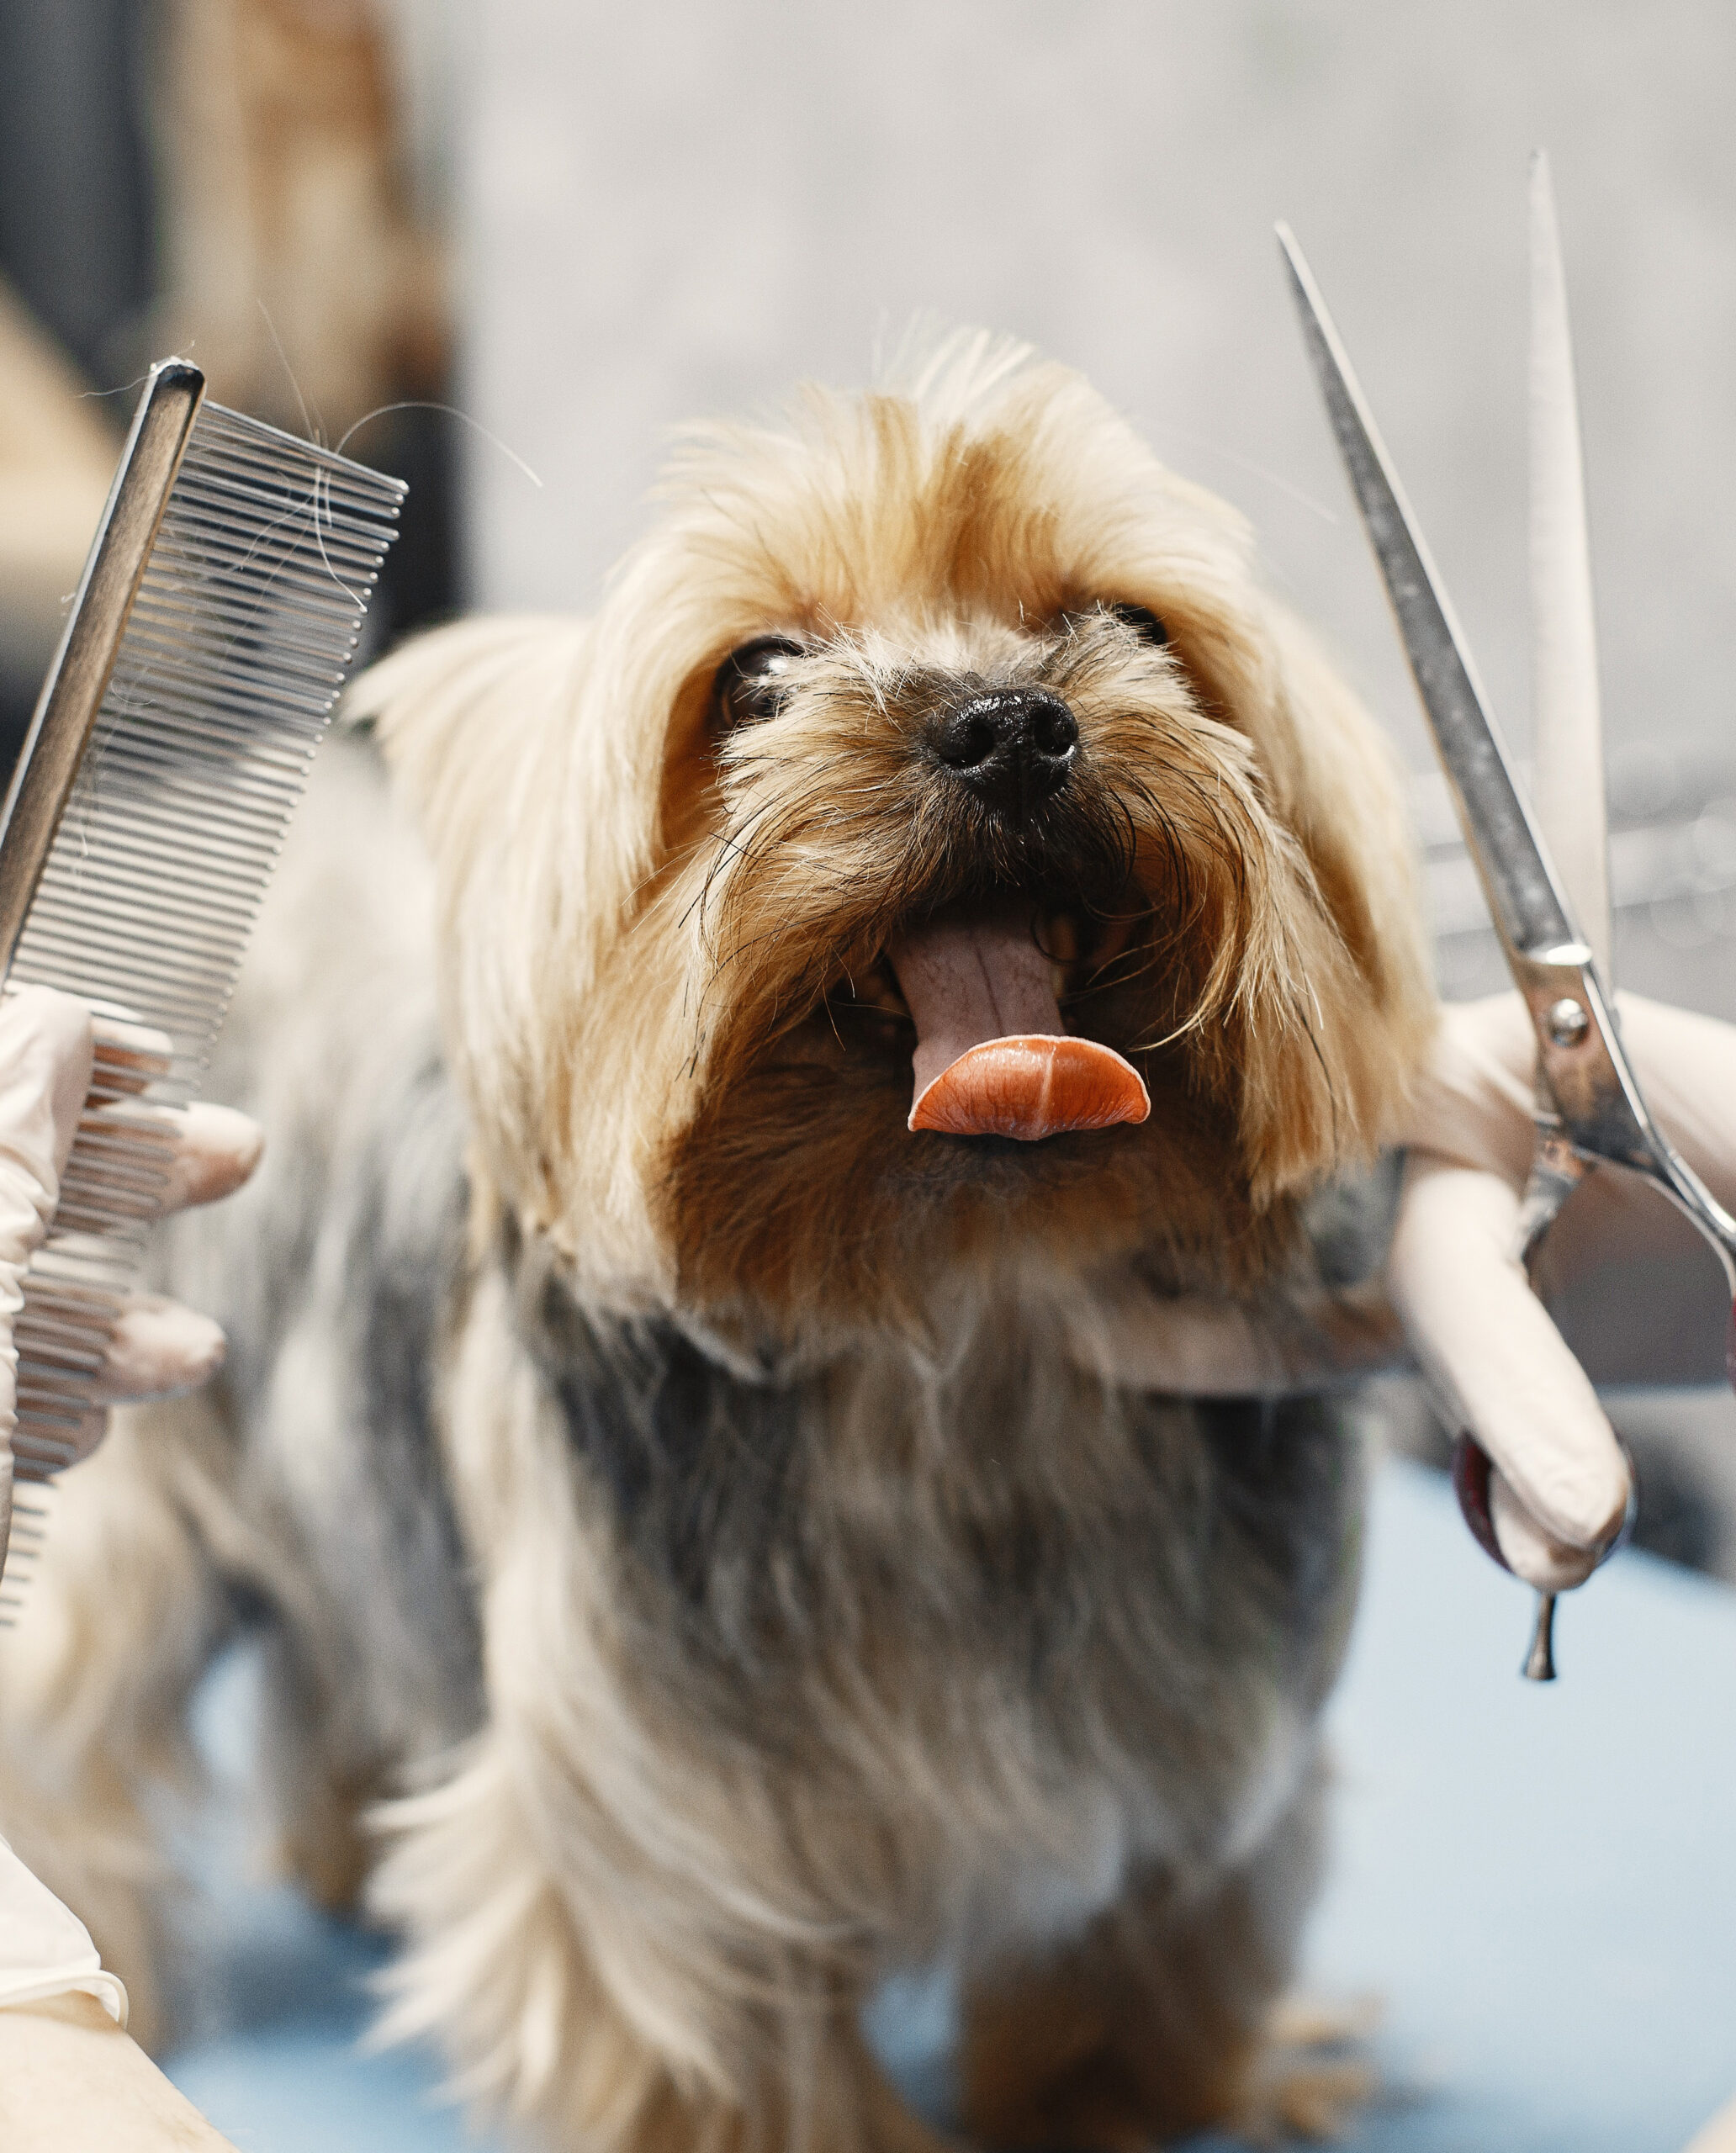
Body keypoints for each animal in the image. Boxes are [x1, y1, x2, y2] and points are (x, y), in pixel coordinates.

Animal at [0, 327, 1430, 2144]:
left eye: (1126, 623)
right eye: (754, 674)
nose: (1008, 727)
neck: (962, 1315)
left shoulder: (1202, 1776)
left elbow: (1138, 1986)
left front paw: (1142, 2102)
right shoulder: (661, 1843)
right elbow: (725, 2053)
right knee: (77, 1706)